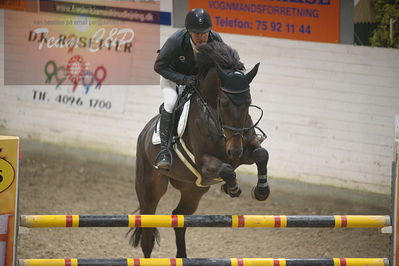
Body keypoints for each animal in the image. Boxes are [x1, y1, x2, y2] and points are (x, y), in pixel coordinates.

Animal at [133, 41, 270, 258]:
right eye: (223, 102)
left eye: (249, 102)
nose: (234, 151)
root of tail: (143, 133)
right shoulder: (205, 161)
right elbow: (227, 169)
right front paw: (232, 189)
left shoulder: (245, 150)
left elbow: (261, 155)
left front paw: (261, 191)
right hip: (150, 188)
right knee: (147, 234)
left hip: (193, 190)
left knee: (178, 217)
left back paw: (182, 256)